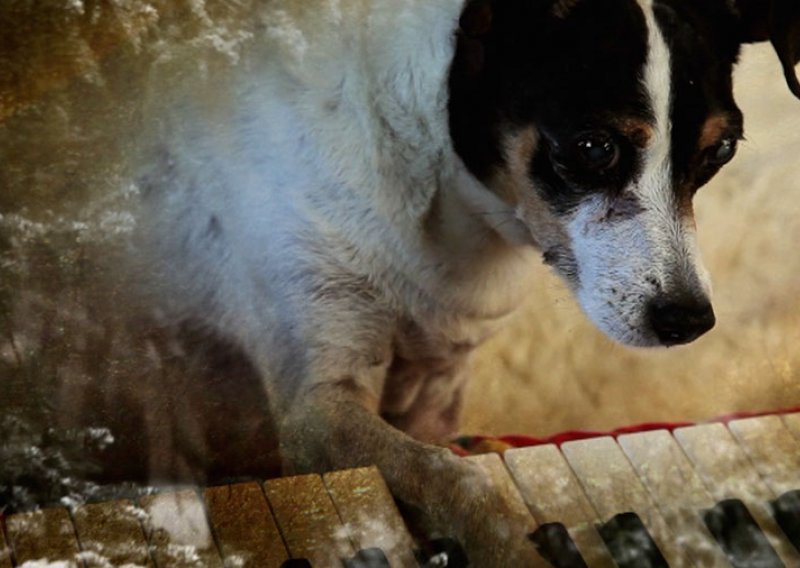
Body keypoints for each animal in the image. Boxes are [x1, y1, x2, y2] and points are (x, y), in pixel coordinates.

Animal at [130, 0, 800, 564]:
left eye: (721, 151)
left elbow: (454, 453)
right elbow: (452, 477)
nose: (690, 322)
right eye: (593, 147)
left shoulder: (440, 386)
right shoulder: (315, 408)